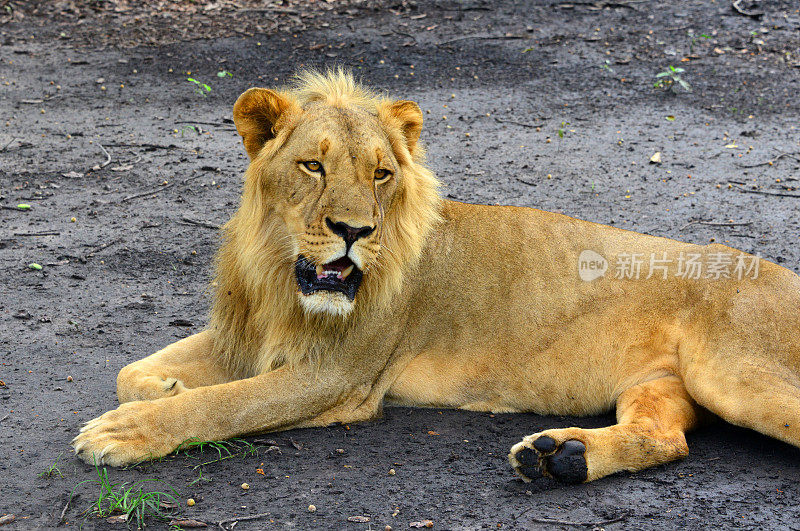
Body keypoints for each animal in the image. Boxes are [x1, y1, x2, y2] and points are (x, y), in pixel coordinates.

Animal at [70, 68, 800, 484]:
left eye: (381, 173)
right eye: (313, 165)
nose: (354, 232)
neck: (281, 272)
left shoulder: (338, 375)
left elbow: (223, 403)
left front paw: (122, 431)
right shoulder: (243, 334)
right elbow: (133, 371)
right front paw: (160, 386)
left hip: (733, 375)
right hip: (662, 383)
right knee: (665, 437)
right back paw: (557, 459)